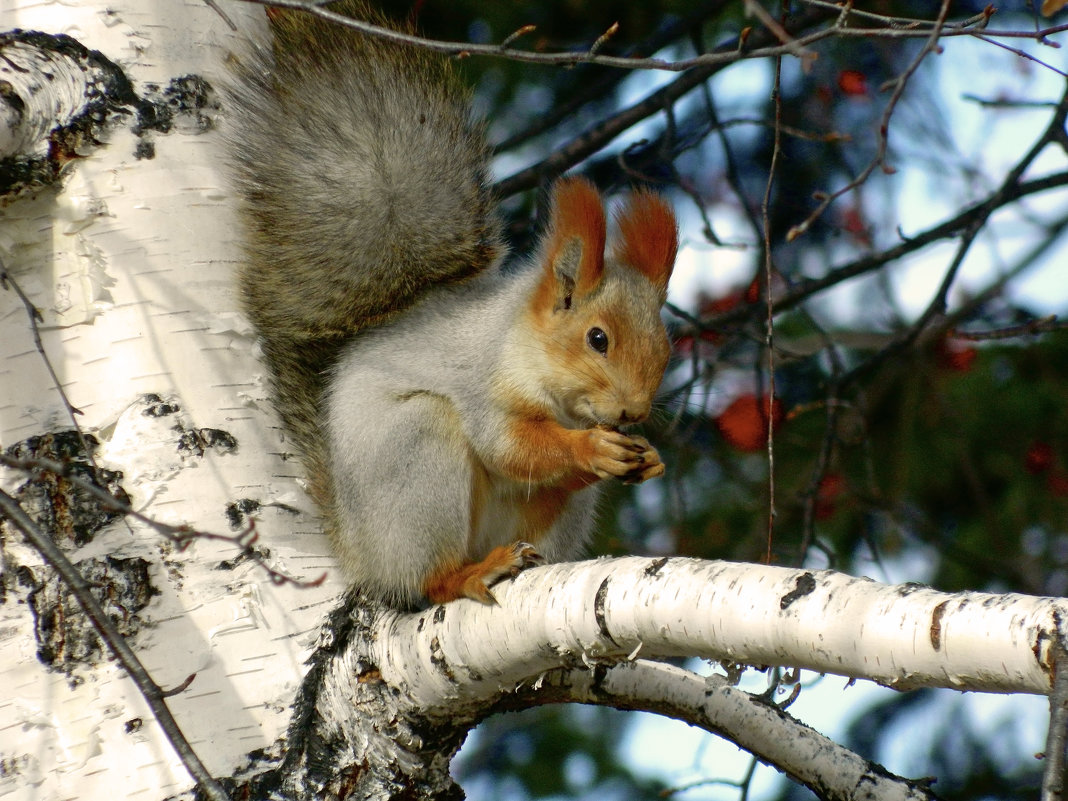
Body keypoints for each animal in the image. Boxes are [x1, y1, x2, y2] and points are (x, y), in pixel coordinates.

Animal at [224, 4, 679, 606]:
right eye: (597, 338)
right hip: (417, 451)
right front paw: (587, 449)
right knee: (428, 575)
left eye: (667, 347)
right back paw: (468, 573)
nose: (632, 412)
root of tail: (358, 550)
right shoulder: (482, 378)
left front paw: (646, 457)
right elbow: (509, 447)